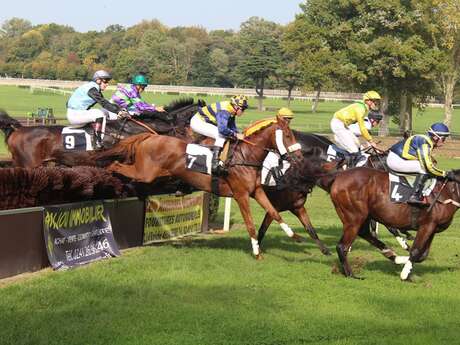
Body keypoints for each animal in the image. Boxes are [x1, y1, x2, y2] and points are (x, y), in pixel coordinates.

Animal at [90, 115, 306, 258]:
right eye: (288, 136)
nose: (299, 157)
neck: (246, 156)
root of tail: (150, 136)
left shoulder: (256, 191)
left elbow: (274, 212)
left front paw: (294, 236)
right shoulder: (241, 195)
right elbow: (251, 224)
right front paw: (256, 252)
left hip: (157, 173)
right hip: (145, 172)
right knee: (115, 164)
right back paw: (107, 175)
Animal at [324, 167, 460, 280]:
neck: (449, 192)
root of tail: (339, 176)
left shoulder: (433, 228)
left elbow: (423, 255)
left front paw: (407, 266)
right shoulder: (427, 225)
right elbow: (416, 252)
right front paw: (405, 275)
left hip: (364, 216)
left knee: (365, 233)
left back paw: (395, 256)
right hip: (354, 217)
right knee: (342, 246)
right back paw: (351, 274)